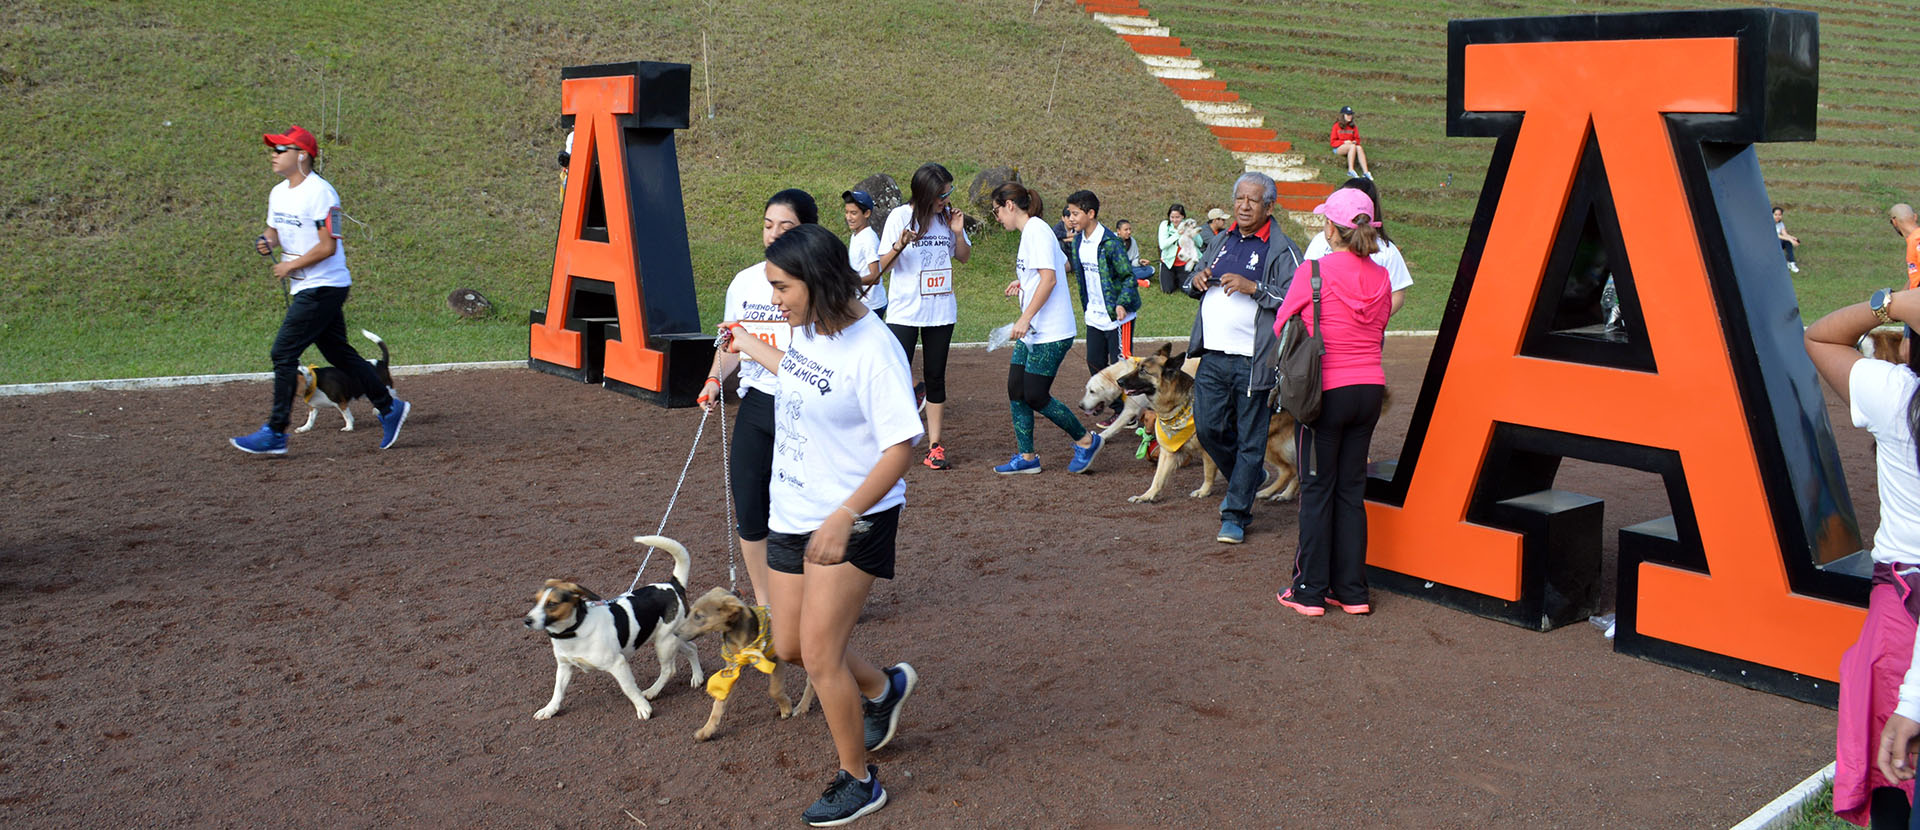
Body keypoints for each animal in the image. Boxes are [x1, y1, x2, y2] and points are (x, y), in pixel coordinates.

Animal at [526, 530, 706, 718]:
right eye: (535, 601)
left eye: (552, 604)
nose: (527, 620)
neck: (575, 630)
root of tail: (673, 585)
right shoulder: (564, 666)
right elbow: (558, 691)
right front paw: (549, 709)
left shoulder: (618, 664)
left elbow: (629, 688)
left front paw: (643, 707)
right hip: (669, 638)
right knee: (692, 648)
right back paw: (697, 677)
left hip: (665, 642)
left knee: (669, 670)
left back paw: (653, 691)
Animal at [672, 587, 814, 741]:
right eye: (689, 612)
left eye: (698, 616)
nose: (675, 633)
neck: (738, 636)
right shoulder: (731, 669)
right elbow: (718, 705)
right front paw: (707, 730)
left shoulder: (775, 660)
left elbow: (774, 690)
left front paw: (786, 708)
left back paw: (803, 706)